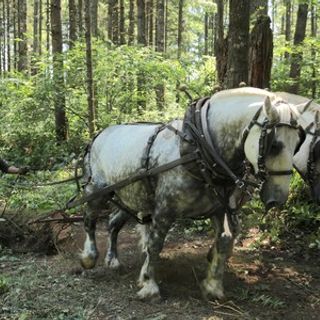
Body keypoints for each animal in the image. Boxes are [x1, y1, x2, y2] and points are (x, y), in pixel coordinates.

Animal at [80, 87, 310, 300]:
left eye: (298, 144)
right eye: (275, 145)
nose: (278, 198)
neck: (199, 148)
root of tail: (98, 135)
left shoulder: (220, 208)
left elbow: (225, 241)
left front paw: (213, 286)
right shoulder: (164, 210)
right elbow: (155, 244)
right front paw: (149, 285)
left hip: (130, 197)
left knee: (113, 224)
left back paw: (113, 260)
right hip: (97, 192)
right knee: (90, 221)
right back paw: (89, 258)